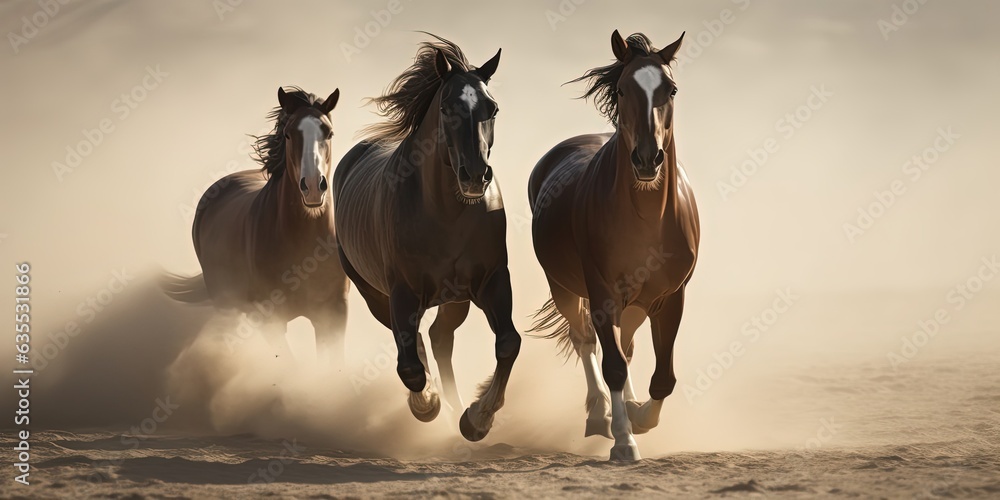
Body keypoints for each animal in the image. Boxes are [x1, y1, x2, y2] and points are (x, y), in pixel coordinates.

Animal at [164, 86, 350, 365]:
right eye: (288, 134)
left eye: (329, 133)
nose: (313, 187)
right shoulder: (270, 320)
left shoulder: (334, 314)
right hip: (226, 308)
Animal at [333, 34, 519, 441]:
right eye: (447, 107)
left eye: (493, 108)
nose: (475, 176)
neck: (446, 215)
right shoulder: (402, 291)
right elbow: (410, 367)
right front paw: (428, 405)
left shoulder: (493, 281)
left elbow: (508, 344)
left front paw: (477, 419)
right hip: (374, 293)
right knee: (416, 341)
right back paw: (438, 404)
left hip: (455, 299)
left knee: (438, 337)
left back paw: (456, 406)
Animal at [527, 30, 699, 461]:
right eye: (622, 89)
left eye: (671, 89)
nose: (647, 159)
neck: (648, 218)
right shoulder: (601, 292)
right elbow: (613, 366)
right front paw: (624, 439)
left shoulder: (671, 296)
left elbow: (663, 376)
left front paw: (639, 415)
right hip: (565, 289)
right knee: (586, 342)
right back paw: (597, 416)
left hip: (635, 303)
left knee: (625, 344)